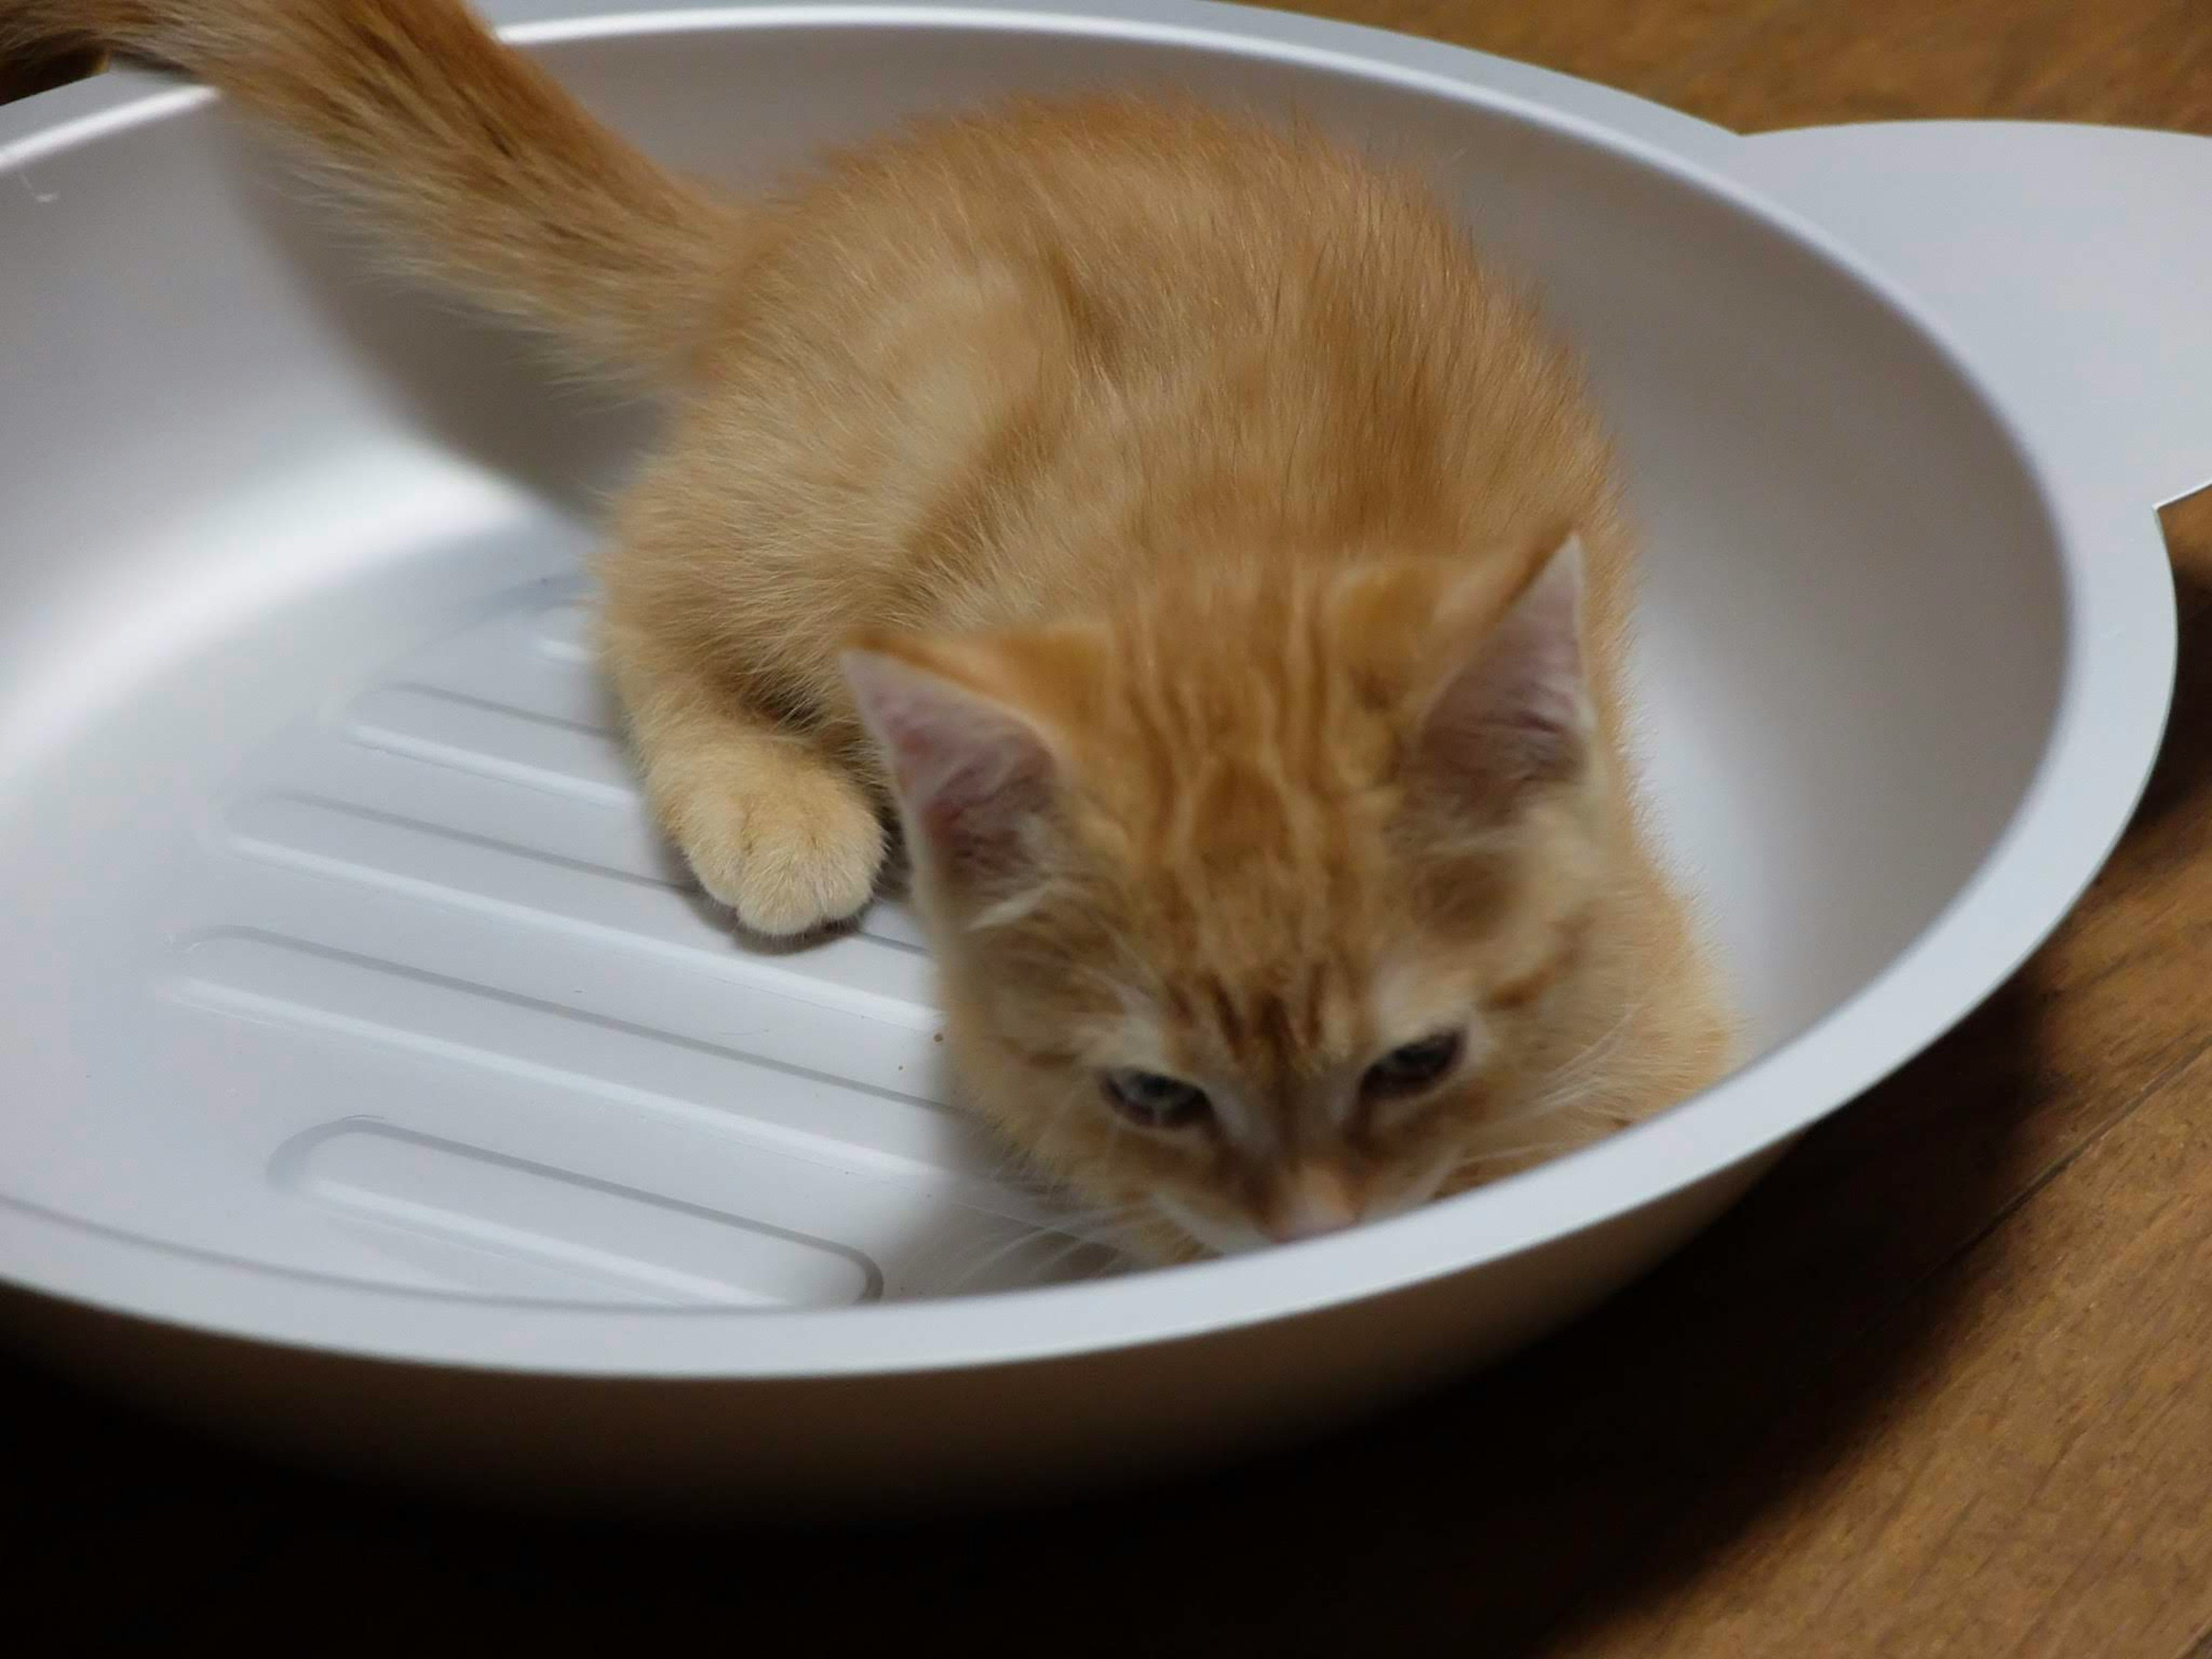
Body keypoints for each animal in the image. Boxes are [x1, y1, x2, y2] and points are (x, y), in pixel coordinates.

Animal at [13, 0, 1743, 1256]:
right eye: (1154, 1090)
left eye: (1412, 1060)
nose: (1317, 1230)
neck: (1237, 571)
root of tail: (798, 230)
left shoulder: (1667, 1017)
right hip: (887, 447)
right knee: (640, 571)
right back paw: (763, 793)